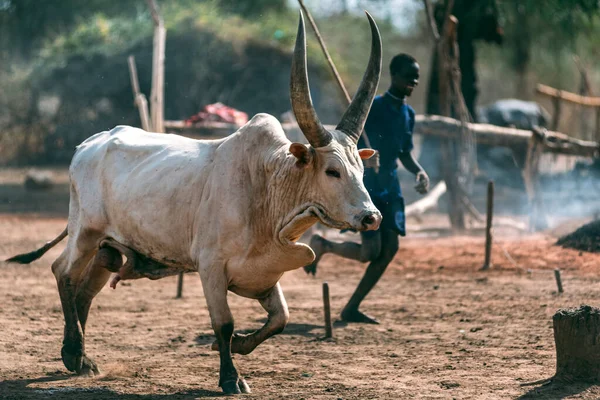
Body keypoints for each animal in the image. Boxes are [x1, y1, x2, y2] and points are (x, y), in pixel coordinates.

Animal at [9, 11, 382, 394]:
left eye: (361, 169)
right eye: (332, 171)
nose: (371, 217)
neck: (266, 187)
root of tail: (87, 145)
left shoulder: (264, 272)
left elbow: (280, 318)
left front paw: (238, 347)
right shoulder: (211, 267)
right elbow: (225, 323)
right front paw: (231, 377)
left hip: (108, 248)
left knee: (85, 290)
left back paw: (82, 359)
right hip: (85, 232)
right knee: (63, 273)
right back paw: (71, 353)